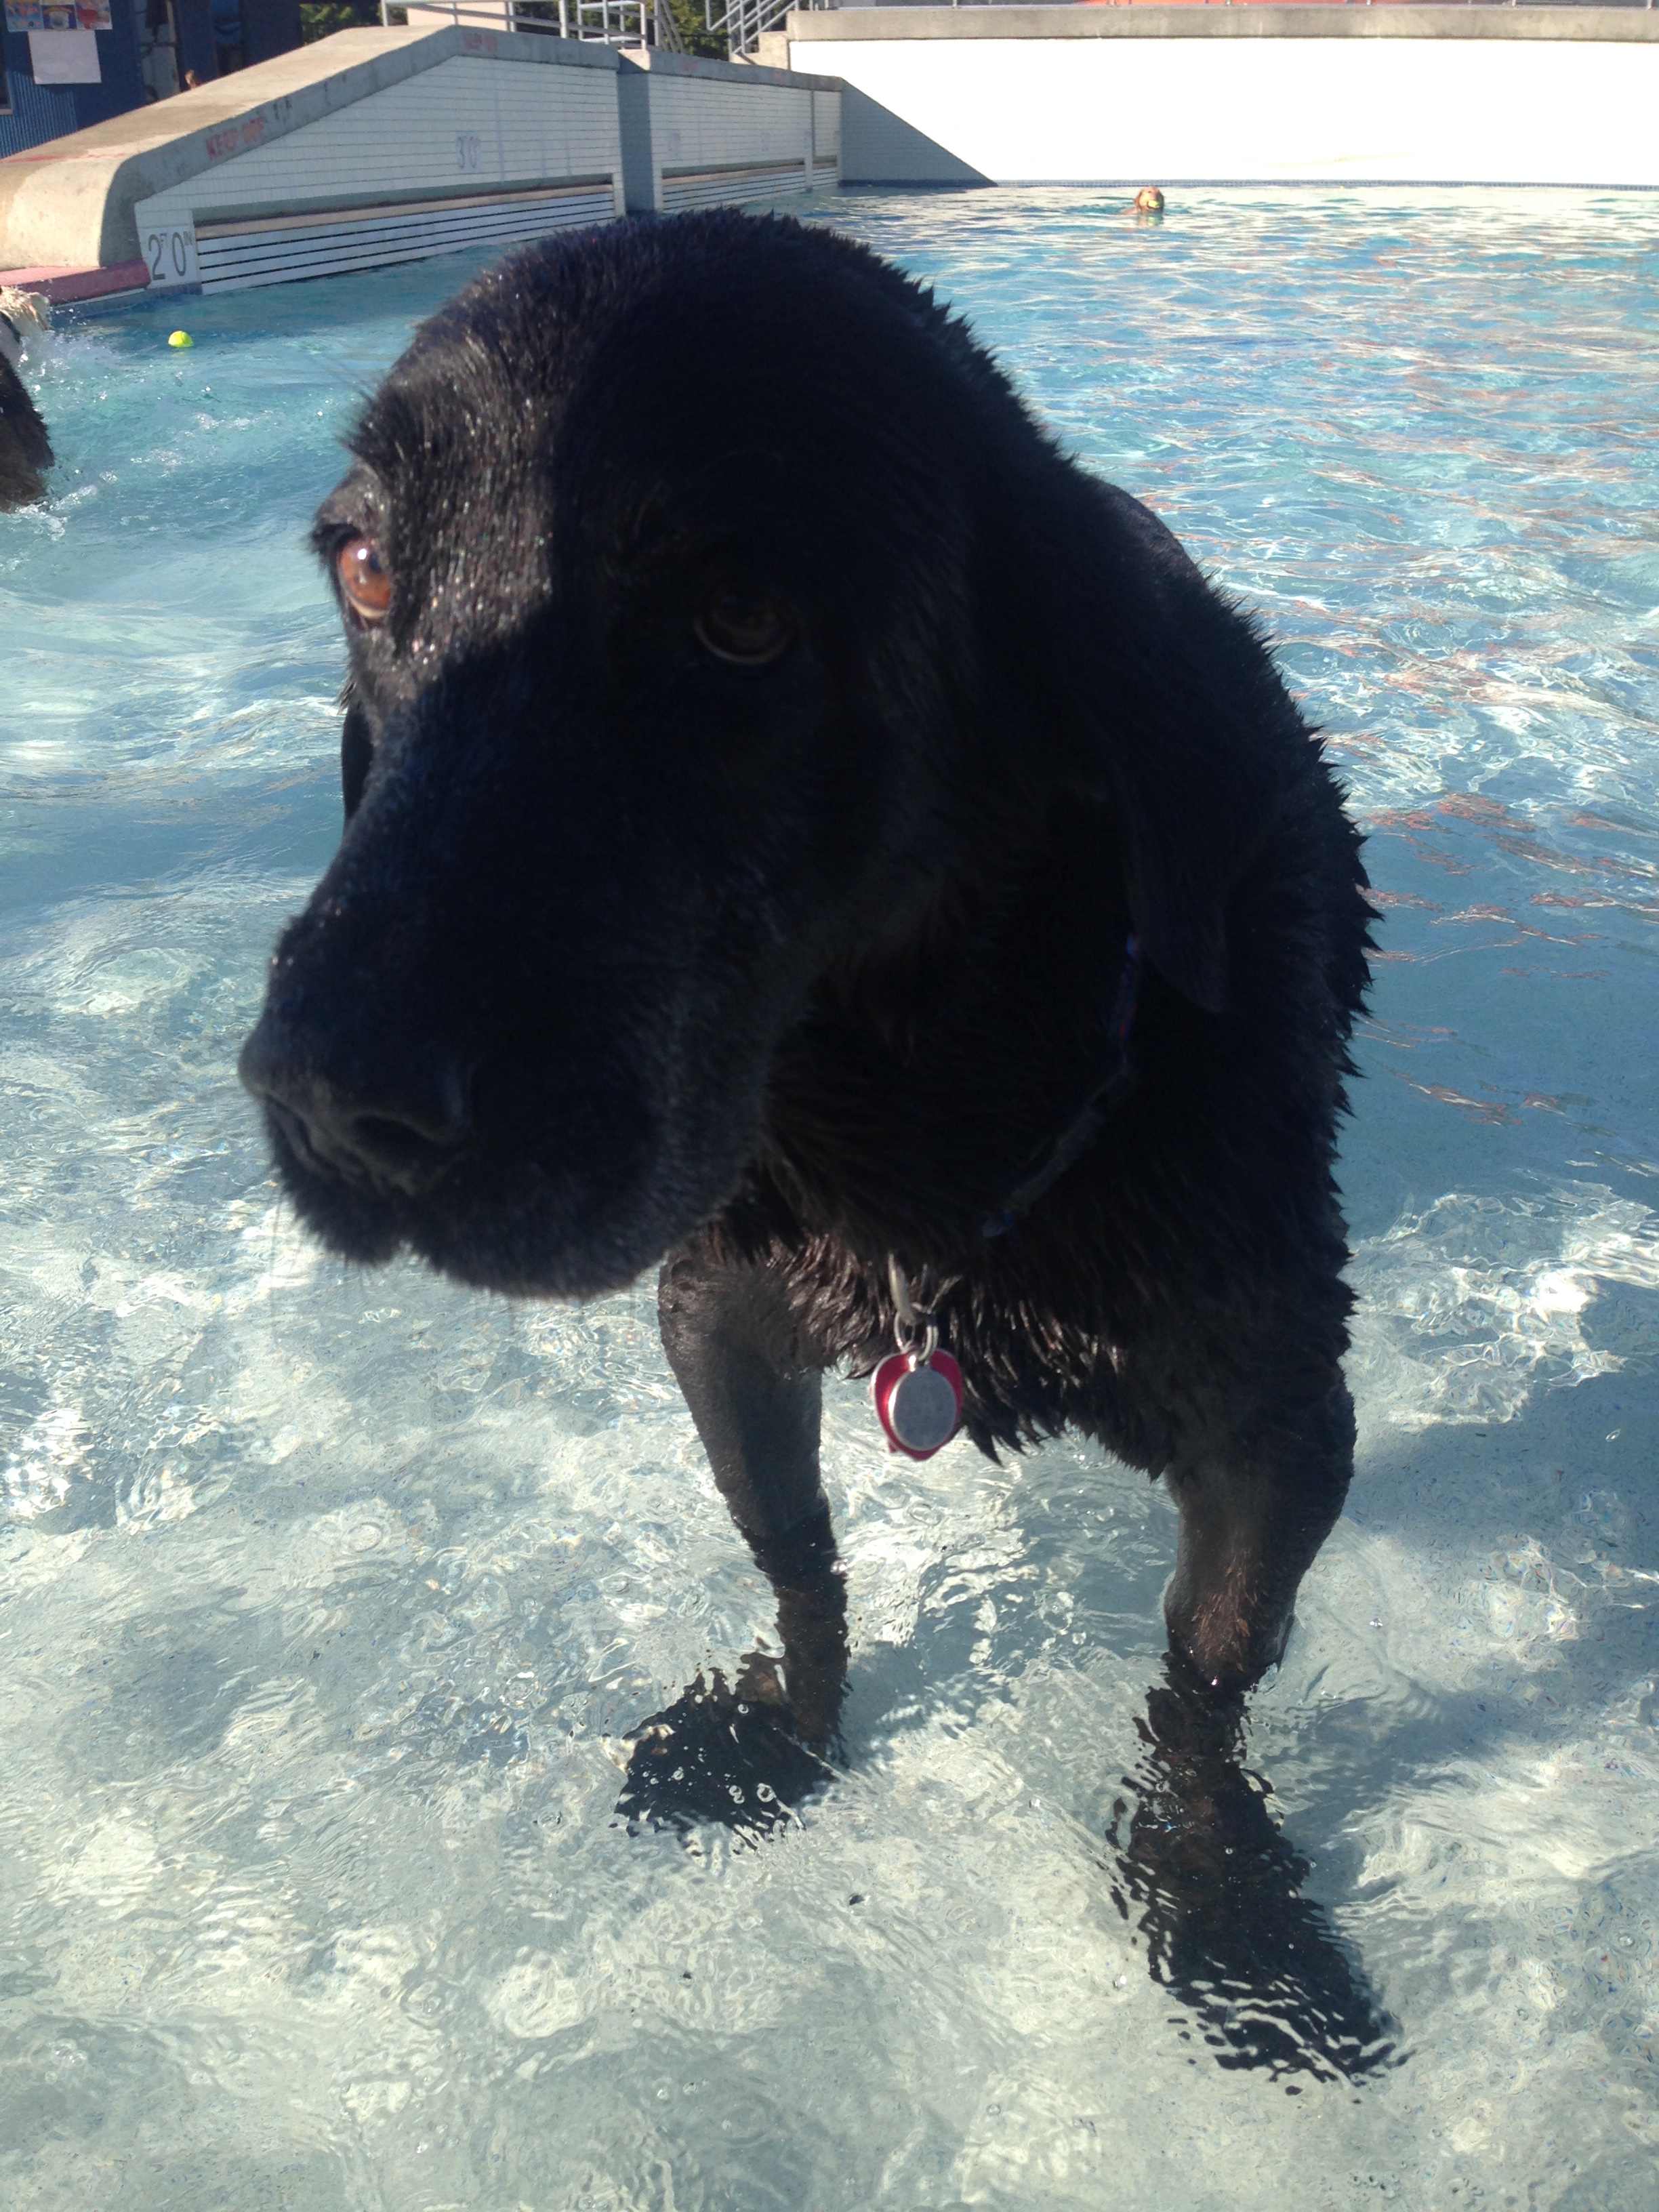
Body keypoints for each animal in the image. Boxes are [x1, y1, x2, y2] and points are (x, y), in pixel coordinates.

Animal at [241, 211, 1385, 2071]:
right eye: (365, 571)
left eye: (740, 614)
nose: (327, 1094)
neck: (926, 1157)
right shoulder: (717, 1319)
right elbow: (797, 1563)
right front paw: (792, 1729)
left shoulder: (1285, 1425)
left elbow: (1204, 1683)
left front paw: (1223, 1897)